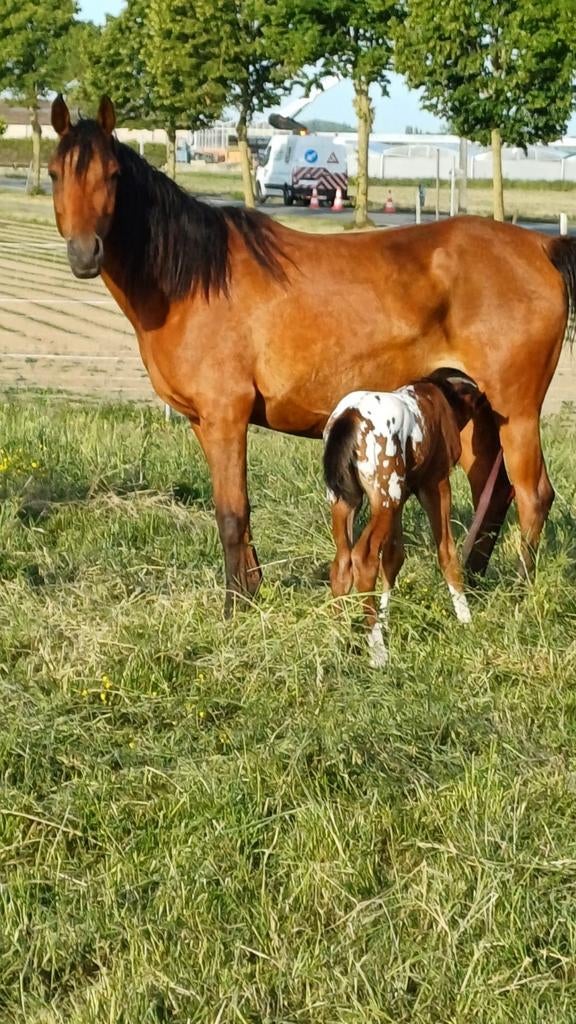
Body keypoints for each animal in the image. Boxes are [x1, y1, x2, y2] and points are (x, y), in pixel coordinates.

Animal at [48, 95, 576, 612]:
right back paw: (474, 578)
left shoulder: (226, 417)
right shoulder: (203, 422)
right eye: (55, 173)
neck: (194, 281)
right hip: (475, 415)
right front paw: (252, 592)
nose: (84, 254)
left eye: (112, 175)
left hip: (517, 411)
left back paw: (520, 596)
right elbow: (236, 513)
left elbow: (232, 512)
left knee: (533, 495)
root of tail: (541, 244)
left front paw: (234, 608)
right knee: (495, 490)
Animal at [323, 373, 485, 666]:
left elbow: (393, 557)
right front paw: (465, 619)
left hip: (348, 503)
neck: (438, 396)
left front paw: (386, 621)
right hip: (386, 499)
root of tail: (349, 416)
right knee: (363, 559)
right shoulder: (436, 485)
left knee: (341, 564)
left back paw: (335, 642)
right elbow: (446, 551)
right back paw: (378, 651)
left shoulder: (403, 497)